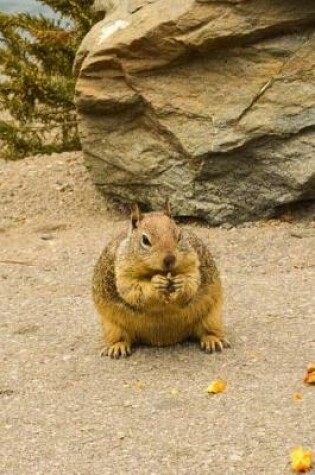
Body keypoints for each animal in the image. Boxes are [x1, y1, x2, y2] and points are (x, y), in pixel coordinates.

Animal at [92, 203, 231, 358]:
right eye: (145, 240)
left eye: (179, 235)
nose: (170, 258)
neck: (159, 271)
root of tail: (163, 340)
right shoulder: (123, 271)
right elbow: (132, 288)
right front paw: (155, 283)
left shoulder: (191, 261)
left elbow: (192, 280)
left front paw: (181, 282)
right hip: (111, 325)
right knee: (119, 337)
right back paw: (117, 346)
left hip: (212, 316)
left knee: (208, 330)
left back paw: (213, 340)